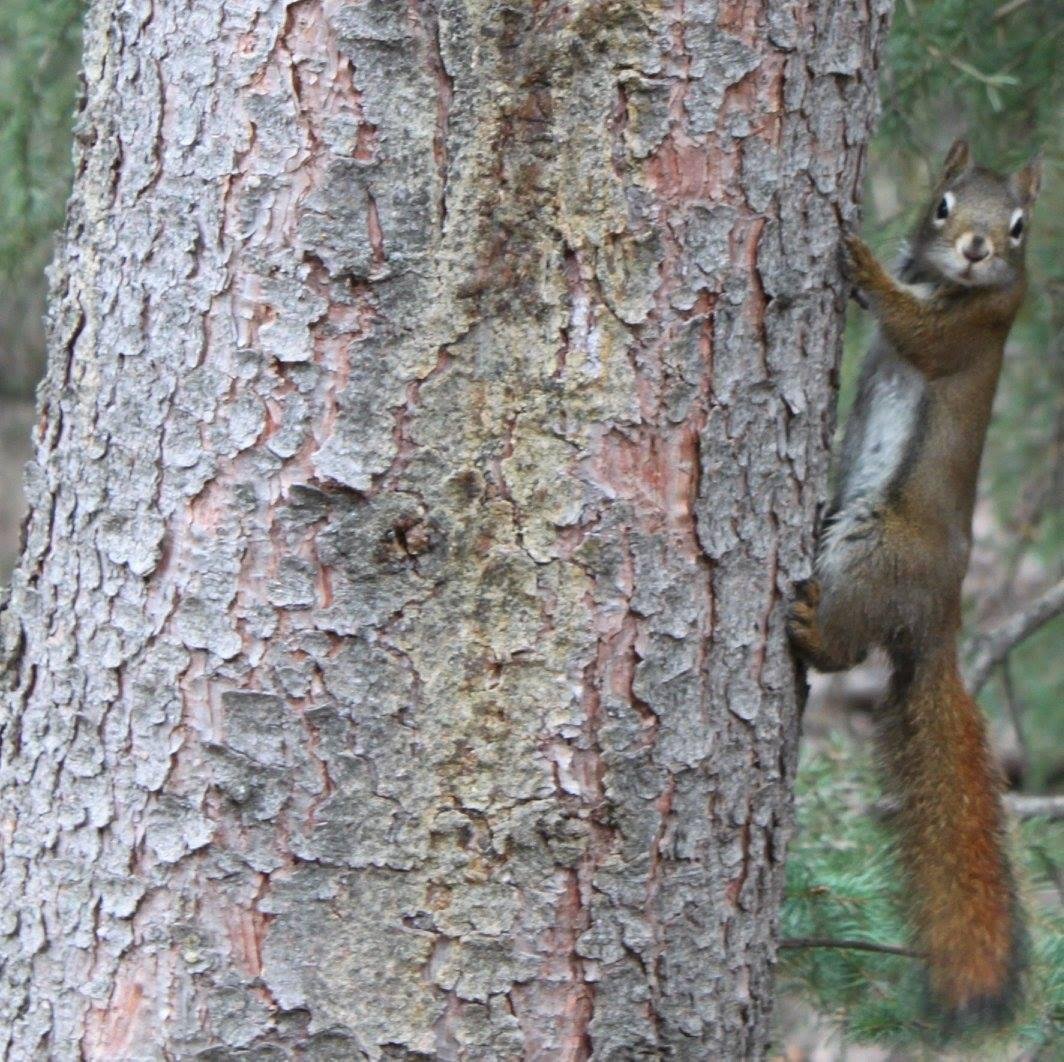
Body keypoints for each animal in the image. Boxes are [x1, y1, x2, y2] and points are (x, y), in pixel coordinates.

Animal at [787, 138, 1042, 1028]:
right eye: (942, 204)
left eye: (1019, 227)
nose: (976, 249)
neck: (949, 284)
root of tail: (939, 619)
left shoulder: (969, 328)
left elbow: (912, 328)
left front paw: (858, 256)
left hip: (875, 551)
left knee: (844, 649)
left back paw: (812, 630)